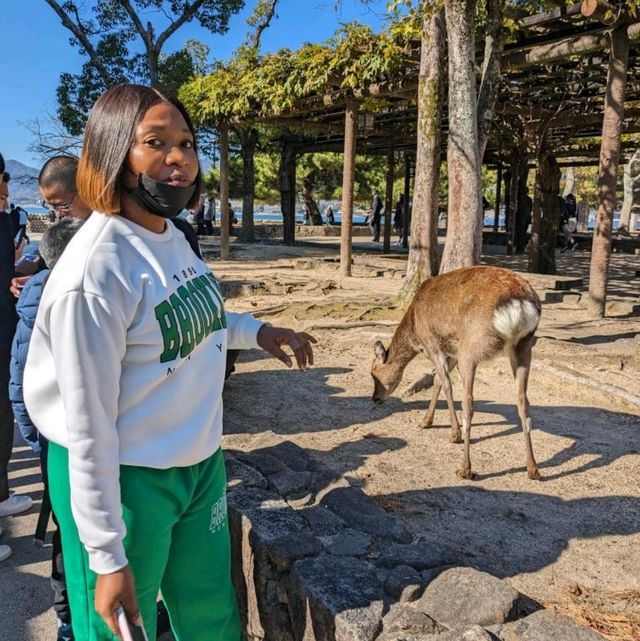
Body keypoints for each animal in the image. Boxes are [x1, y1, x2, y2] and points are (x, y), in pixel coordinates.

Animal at [372, 262, 544, 478]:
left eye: (373, 374)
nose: (375, 398)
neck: (414, 332)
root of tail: (519, 305)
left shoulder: (432, 344)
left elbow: (445, 383)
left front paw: (454, 434)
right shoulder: (452, 350)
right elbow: (437, 380)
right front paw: (426, 421)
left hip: (471, 350)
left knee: (469, 403)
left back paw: (465, 468)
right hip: (524, 346)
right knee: (523, 401)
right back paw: (533, 469)